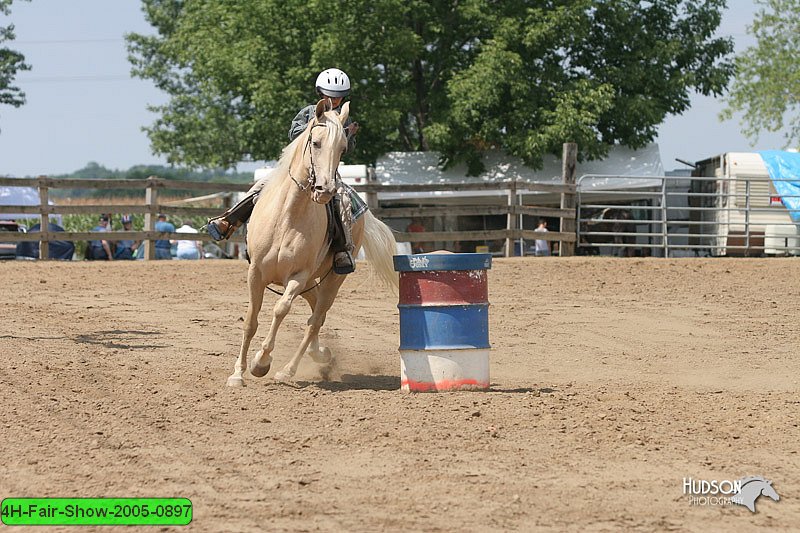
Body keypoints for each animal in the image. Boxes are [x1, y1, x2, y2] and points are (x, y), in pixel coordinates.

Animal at [227, 97, 398, 384]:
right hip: (310, 282)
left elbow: (281, 309)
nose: (325, 190)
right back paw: (320, 354)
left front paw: (261, 362)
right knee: (315, 310)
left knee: (316, 318)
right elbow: (251, 320)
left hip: (333, 279)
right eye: (316, 143)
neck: (287, 216)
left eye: (342, 149)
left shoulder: (298, 276)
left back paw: (290, 369)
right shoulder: (256, 273)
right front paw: (237, 373)